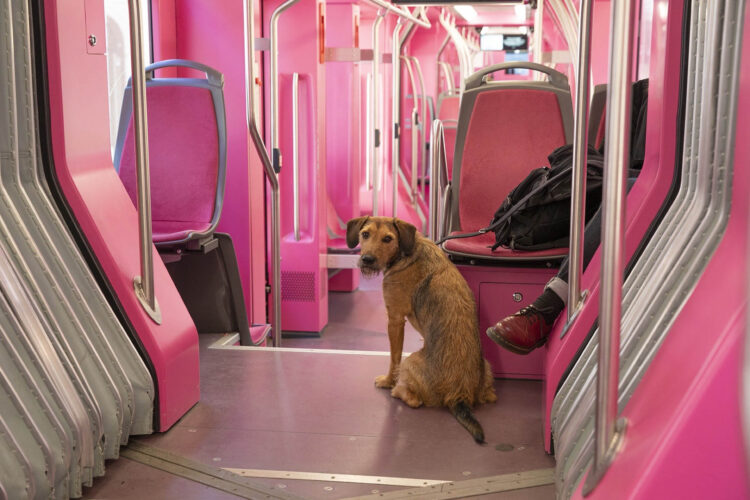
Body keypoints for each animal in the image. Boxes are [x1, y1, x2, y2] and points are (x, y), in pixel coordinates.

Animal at [346, 215, 500, 442]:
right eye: (365, 234)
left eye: (387, 238)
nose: (367, 259)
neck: (407, 251)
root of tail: (459, 395)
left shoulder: (395, 320)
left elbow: (394, 358)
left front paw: (388, 381)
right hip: (487, 369)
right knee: (491, 396)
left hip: (410, 362)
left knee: (414, 401)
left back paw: (398, 390)